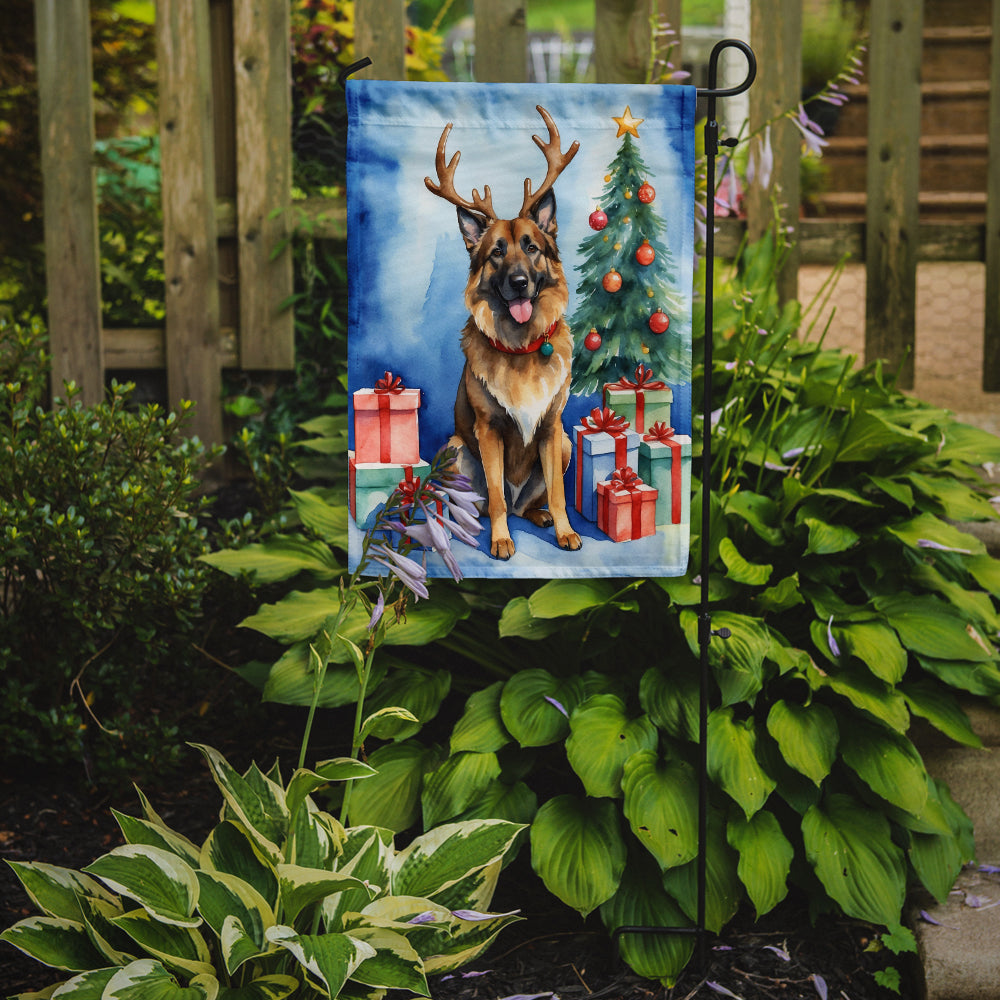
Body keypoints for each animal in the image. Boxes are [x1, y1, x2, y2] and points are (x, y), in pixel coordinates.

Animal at [424, 110, 584, 564]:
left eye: (532, 248)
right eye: (496, 252)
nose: (518, 283)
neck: (521, 349)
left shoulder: (552, 430)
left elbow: (560, 494)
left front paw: (566, 532)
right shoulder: (488, 432)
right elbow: (495, 495)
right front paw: (499, 541)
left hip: (566, 446)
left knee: (528, 503)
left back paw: (538, 516)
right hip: (454, 449)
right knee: (482, 505)